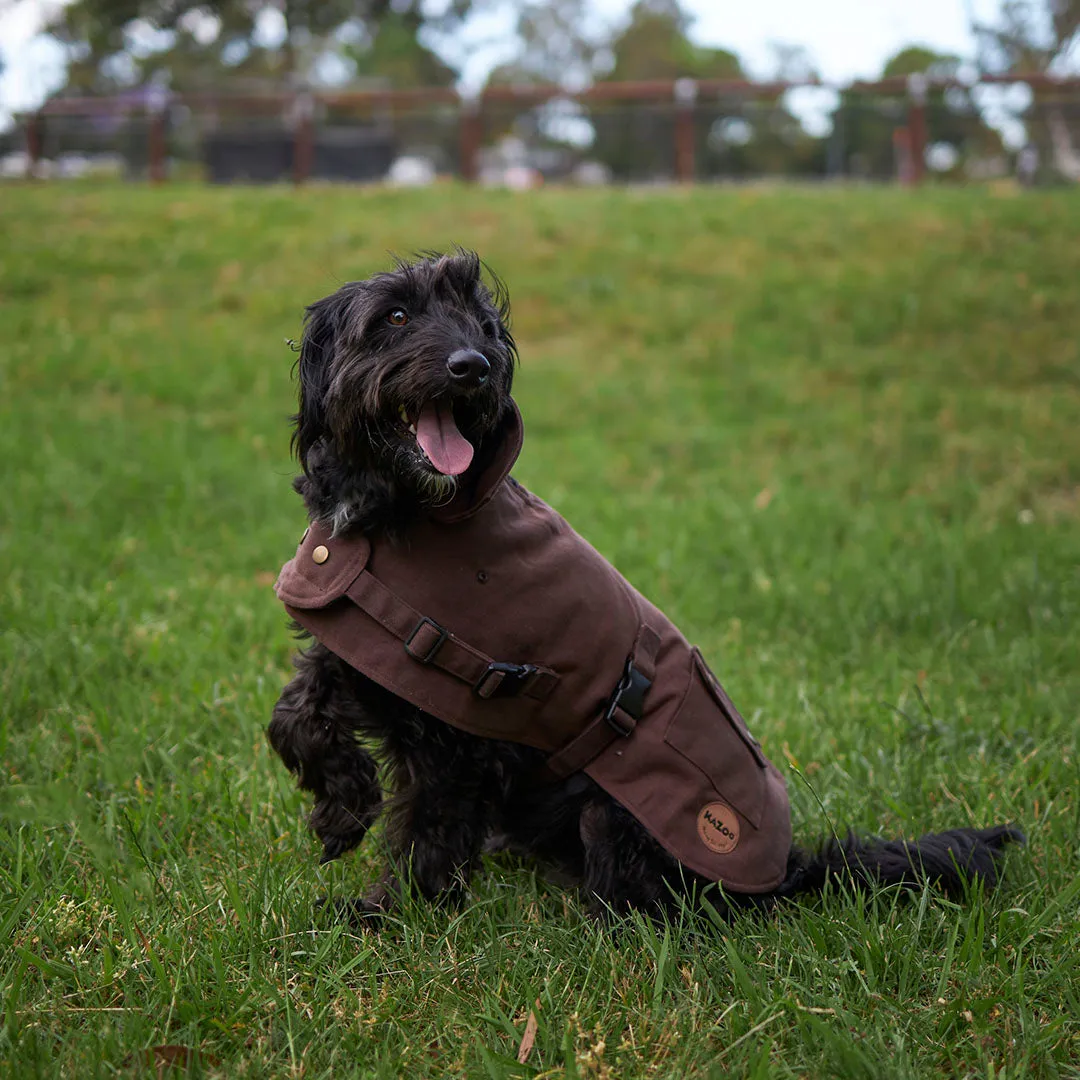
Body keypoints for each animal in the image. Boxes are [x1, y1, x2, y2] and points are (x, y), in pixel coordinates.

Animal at [265, 250, 1023, 920]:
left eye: (479, 325)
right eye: (395, 315)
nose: (472, 367)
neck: (407, 512)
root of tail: (789, 871)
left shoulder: (456, 719)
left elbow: (430, 829)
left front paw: (388, 916)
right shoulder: (359, 642)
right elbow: (295, 717)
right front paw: (341, 812)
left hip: (618, 812)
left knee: (654, 905)